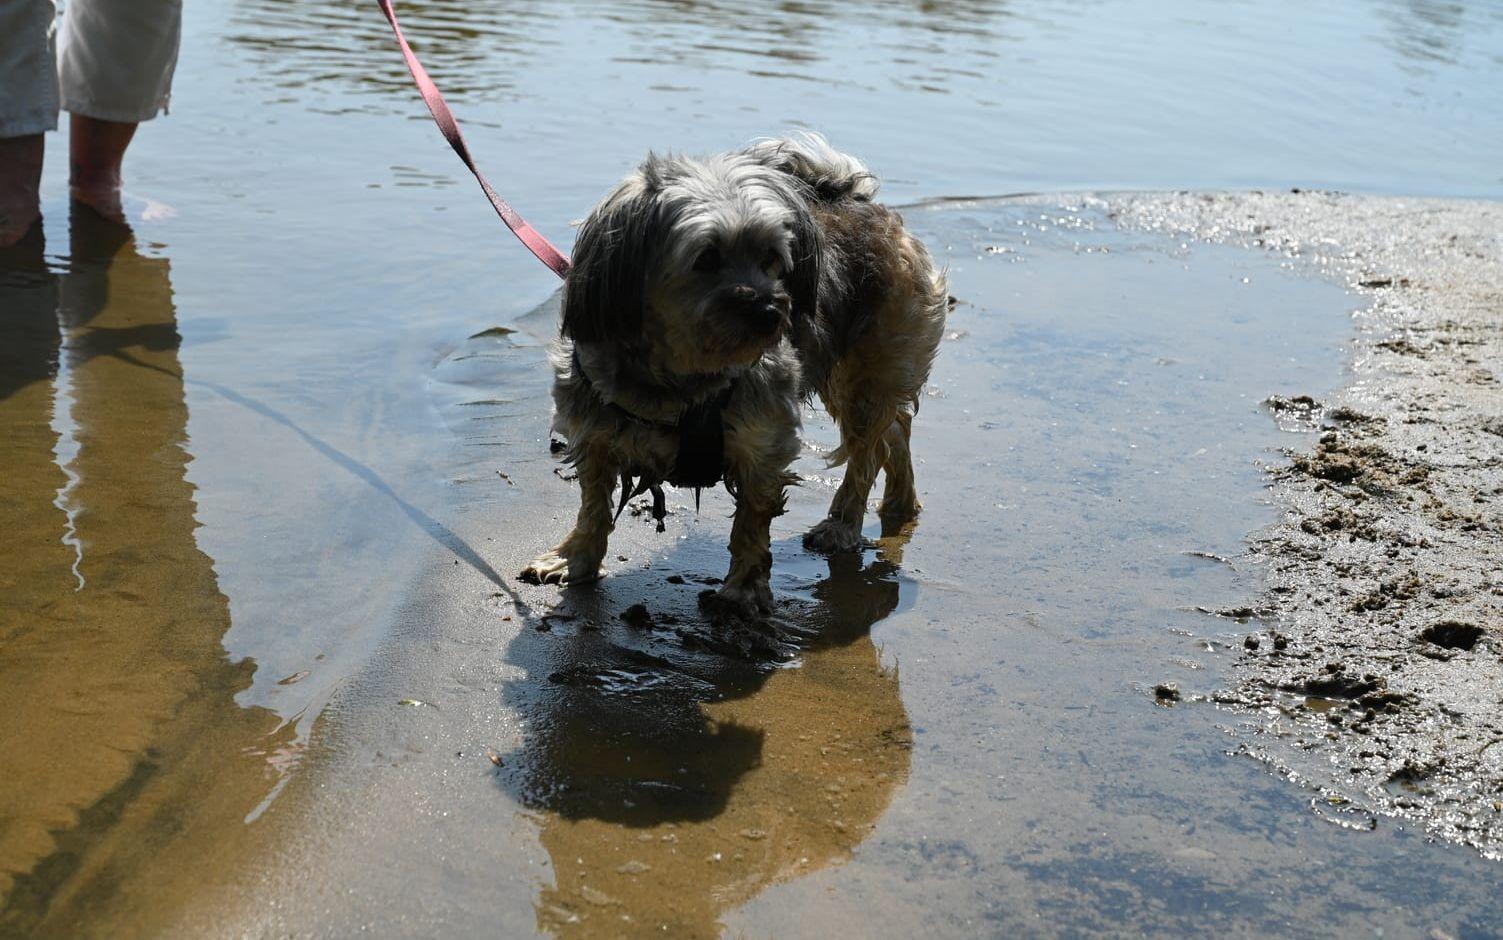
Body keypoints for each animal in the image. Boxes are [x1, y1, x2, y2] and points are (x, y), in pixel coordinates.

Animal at [517, 132, 937, 616]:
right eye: (706, 258)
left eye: (772, 257)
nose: (771, 310)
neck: (680, 374)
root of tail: (858, 197)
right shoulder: (595, 432)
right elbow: (593, 506)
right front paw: (575, 558)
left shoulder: (764, 439)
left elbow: (752, 522)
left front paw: (744, 591)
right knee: (895, 429)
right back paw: (901, 503)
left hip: (869, 370)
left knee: (869, 448)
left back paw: (843, 524)